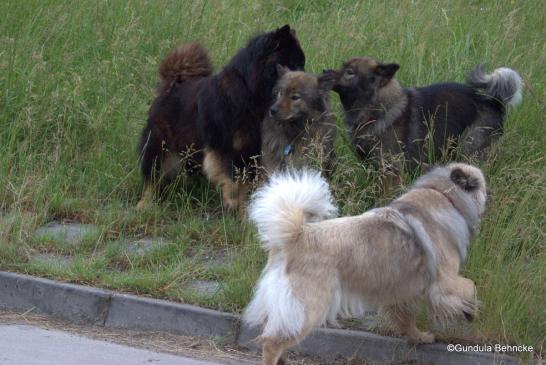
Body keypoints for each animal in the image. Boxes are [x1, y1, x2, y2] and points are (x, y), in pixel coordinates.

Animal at [136, 25, 304, 209]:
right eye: (294, 64)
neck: (250, 93)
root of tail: (171, 85)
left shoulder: (253, 151)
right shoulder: (227, 150)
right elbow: (234, 184)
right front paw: (234, 205)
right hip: (160, 146)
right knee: (152, 176)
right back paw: (145, 204)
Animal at [242, 164, 484, 362]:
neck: (443, 194)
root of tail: (297, 235)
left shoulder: (400, 292)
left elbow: (407, 320)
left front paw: (418, 338)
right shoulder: (445, 282)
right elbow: (470, 286)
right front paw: (470, 311)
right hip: (309, 307)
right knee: (271, 343)